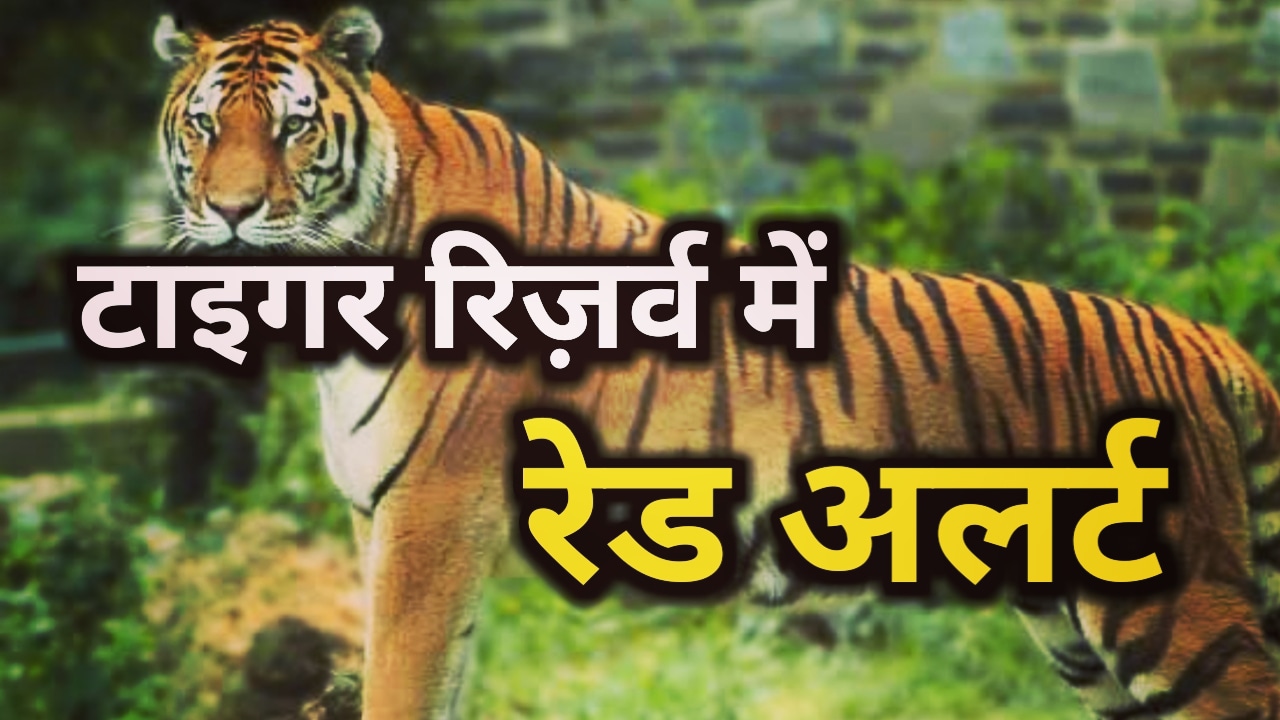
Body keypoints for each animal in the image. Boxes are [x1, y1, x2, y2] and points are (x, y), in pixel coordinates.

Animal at [150, 7, 1280, 719]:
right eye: (203, 124)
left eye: (294, 126)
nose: (232, 211)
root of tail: (1204, 338)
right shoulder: (383, 516)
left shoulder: (432, 512)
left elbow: (403, 678)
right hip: (1073, 619)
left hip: (1169, 608)